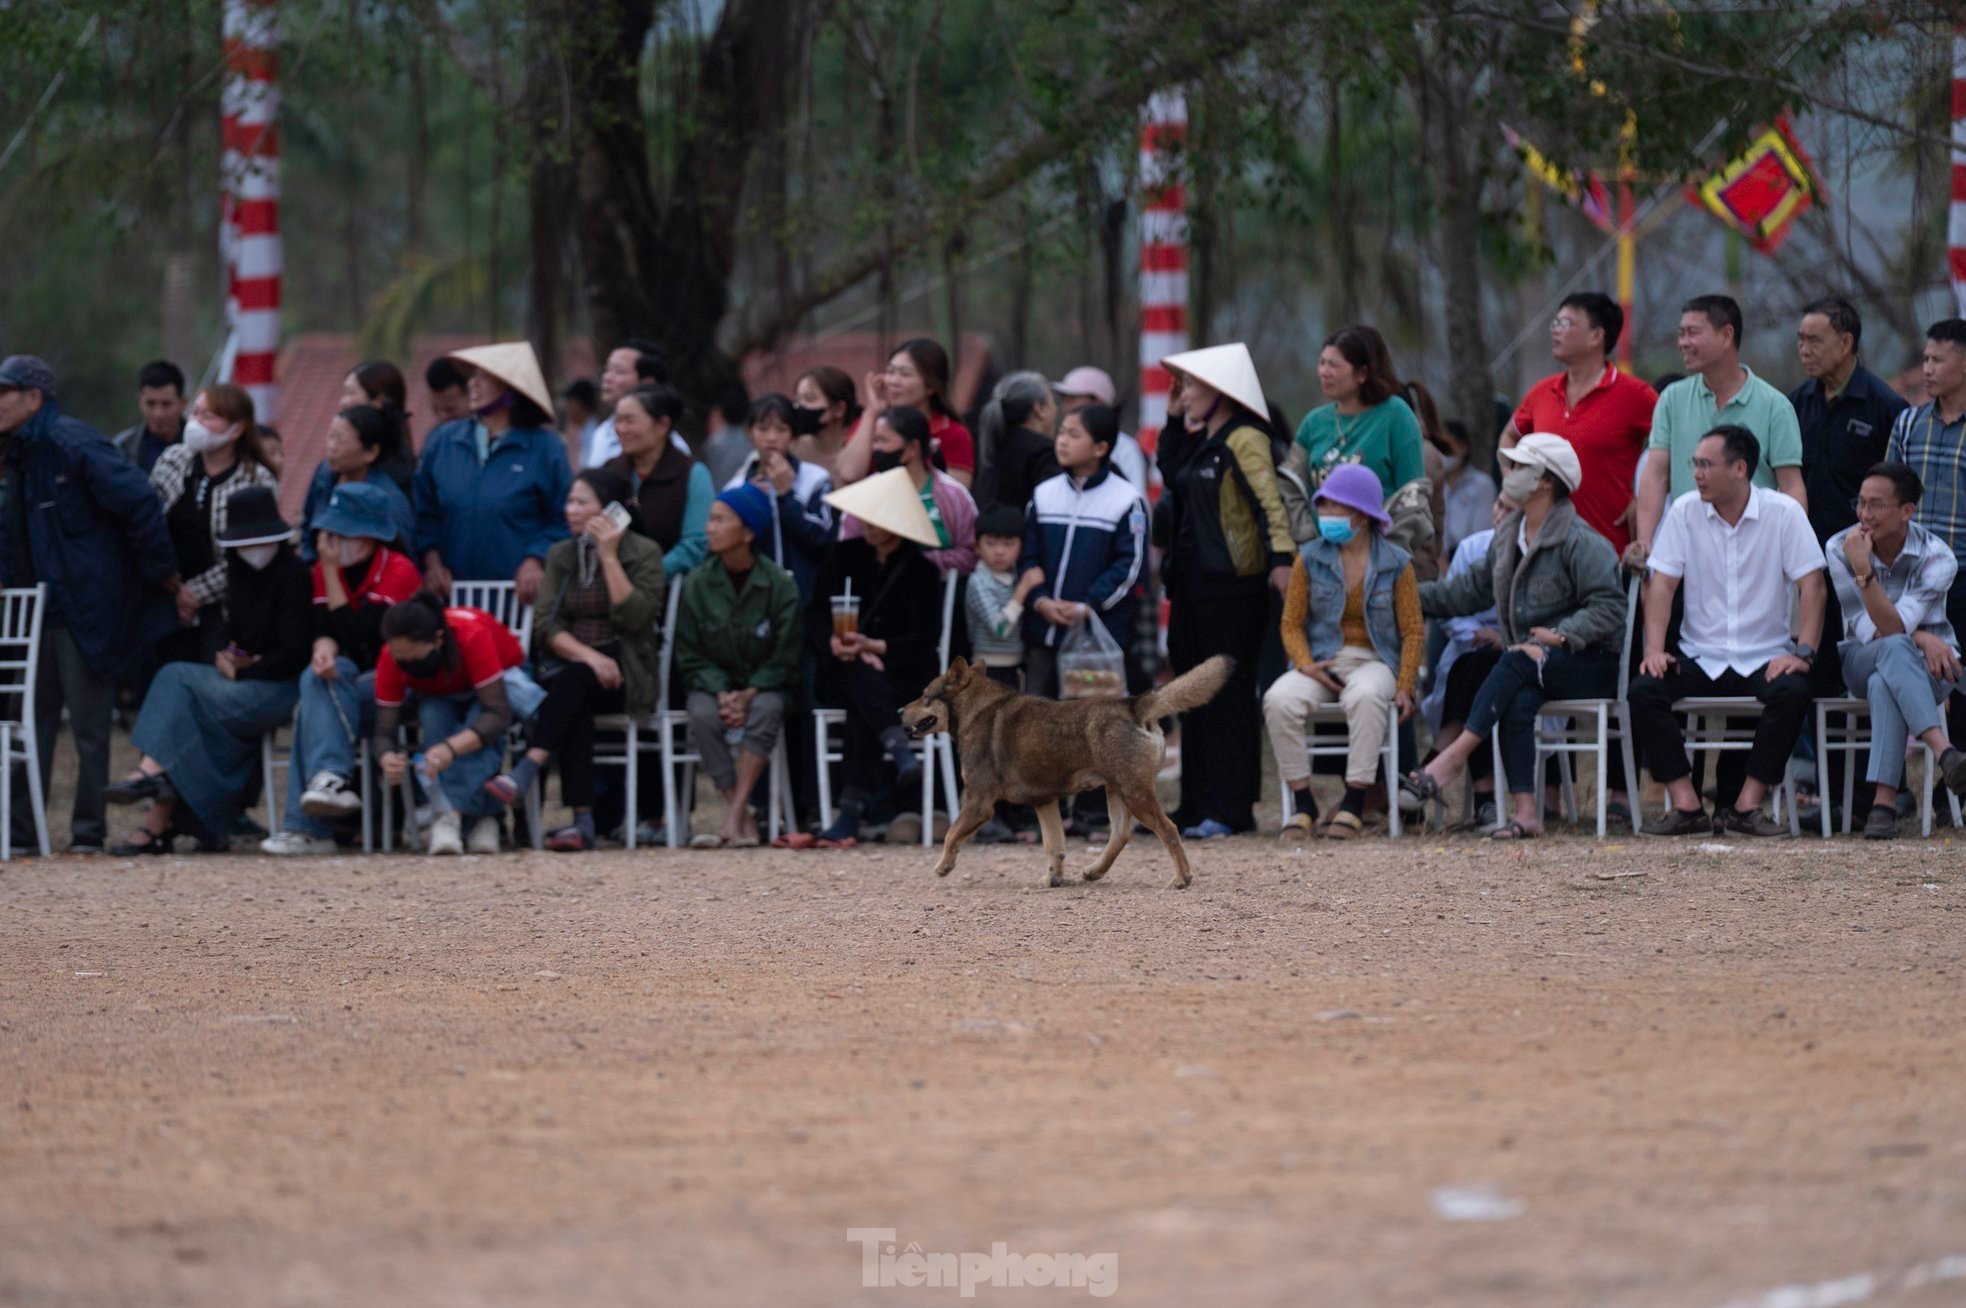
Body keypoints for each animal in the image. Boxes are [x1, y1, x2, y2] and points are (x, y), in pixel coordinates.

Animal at [900, 653, 1226, 889]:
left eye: (925, 696)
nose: (900, 711)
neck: (978, 709)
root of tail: (1133, 704)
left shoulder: (979, 802)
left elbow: (952, 833)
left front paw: (944, 865)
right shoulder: (1044, 801)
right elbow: (1053, 844)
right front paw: (1053, 878)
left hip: (1135, 793)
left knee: (1168, 830)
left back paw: (1182, 878)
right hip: (1117, 790)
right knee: (1120, 834)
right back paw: (1093, 871)